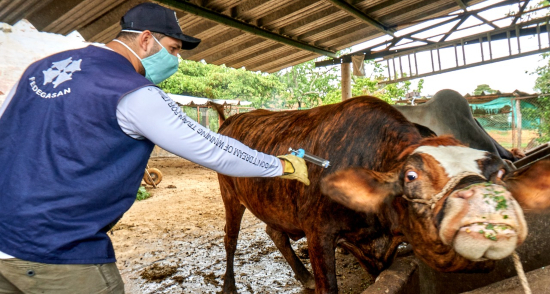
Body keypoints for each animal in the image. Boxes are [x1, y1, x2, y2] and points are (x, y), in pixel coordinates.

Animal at [217, 95, 550, 292]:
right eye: (411, 176)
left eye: (499, 174)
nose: (484, 209)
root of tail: (231, 119)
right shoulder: (319, 233)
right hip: (230, 196)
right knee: (230, 239)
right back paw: (229, 285)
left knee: (274, 231)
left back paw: (303, 276)